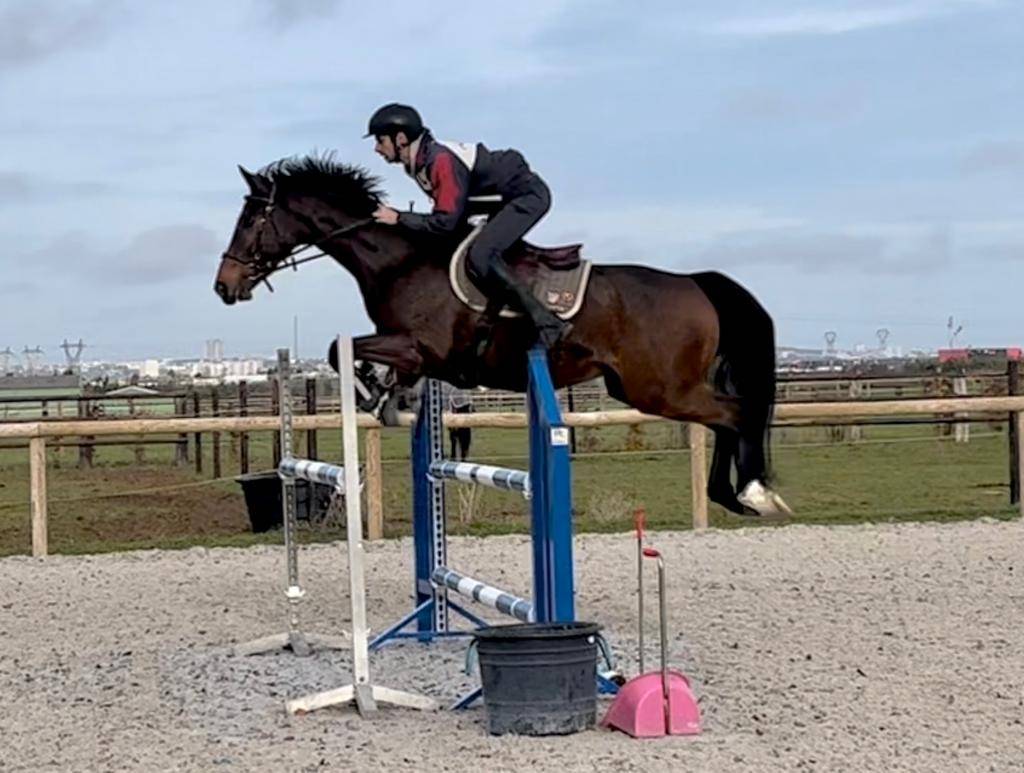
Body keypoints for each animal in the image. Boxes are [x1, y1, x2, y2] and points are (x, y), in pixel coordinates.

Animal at [214, 155, 791, 516]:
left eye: (251, 219)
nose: (224, 285)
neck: (400, 261)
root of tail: (695, 282)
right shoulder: (413, 352)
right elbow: (351, 351)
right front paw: (388, 394)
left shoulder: (421, 347)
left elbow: (341, 349)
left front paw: (373, 391)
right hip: (644, 388)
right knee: (728, 417)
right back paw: (730, 496)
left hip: (659, 388)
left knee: (735, 414)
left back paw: (753, 493)